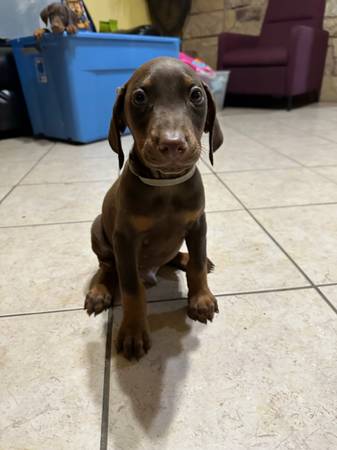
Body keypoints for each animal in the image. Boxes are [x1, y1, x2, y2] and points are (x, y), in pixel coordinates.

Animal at [84, 57, 223, 358]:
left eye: (196, 95)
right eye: (139, 97)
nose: (172, 144)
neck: (165, 185)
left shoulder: (198, 224)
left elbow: (196, 266)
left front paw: (201, 299)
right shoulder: (125, 239)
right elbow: (131, 288)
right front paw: (133, 331)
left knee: (178, 256)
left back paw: (187, 258)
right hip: (98, 230)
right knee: (107, 266)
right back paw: (99, 291)